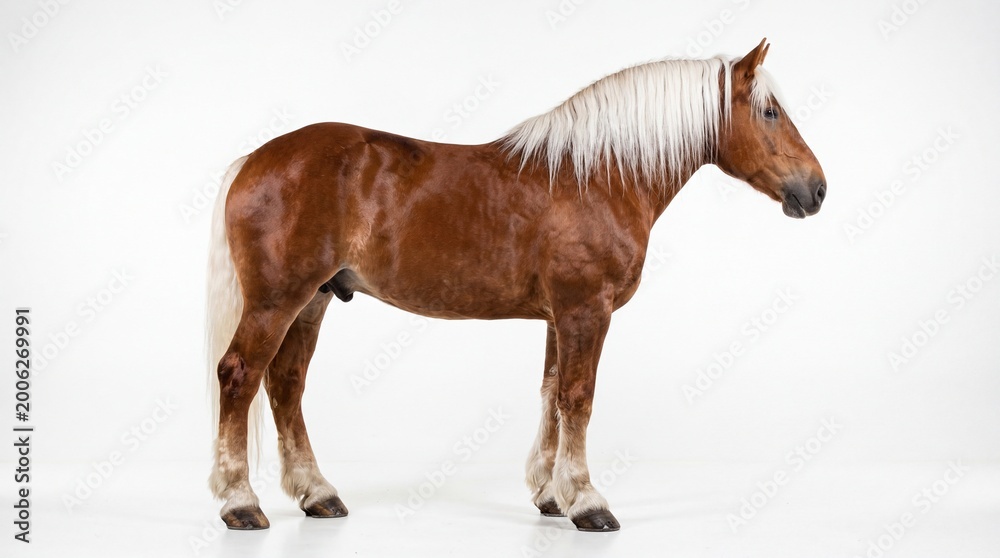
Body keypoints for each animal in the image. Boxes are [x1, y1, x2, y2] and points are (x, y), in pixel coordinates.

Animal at [206, 38, 826, 532]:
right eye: (770, 111)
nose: (817, 190)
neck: (597, 176)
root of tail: (253, 160)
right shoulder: (586, 310)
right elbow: (578, 398)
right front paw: (588, 503)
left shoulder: (560, 316)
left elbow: (552, 395)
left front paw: (551, 494)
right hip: (276, 301)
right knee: (239, 376)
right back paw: (240, 504)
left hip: (312, 301)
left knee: (286, 385)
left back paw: (318, 495)